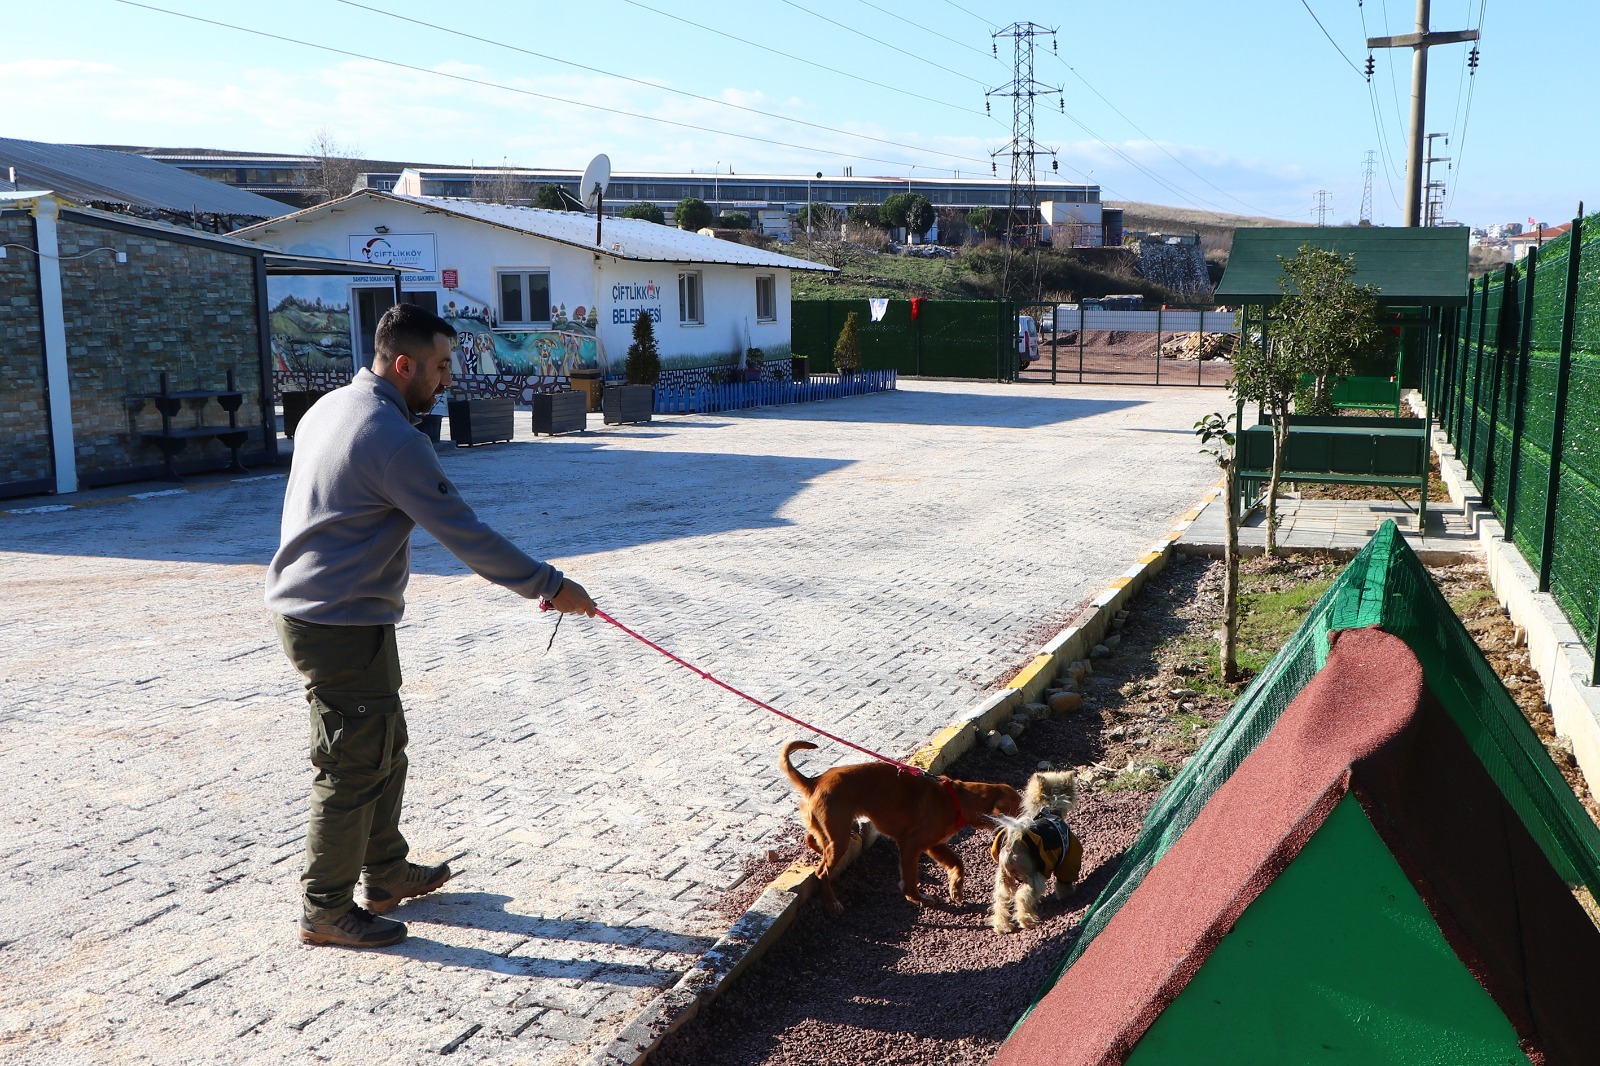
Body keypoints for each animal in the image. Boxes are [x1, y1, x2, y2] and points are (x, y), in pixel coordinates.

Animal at [777, 742, 1024, 909]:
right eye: (1020, 811)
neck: (958, 798)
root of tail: (814, 781)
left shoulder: (935, 845)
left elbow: (958, 863)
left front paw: (956, 889)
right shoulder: (911, 845)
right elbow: (911, 878)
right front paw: (918, 898)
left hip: (831, 828)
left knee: (812, 839)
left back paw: (820, 851)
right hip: (839, 835)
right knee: (821, 872)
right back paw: (831, 903)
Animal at [985, 765, 1088, 928]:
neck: (1050, 811)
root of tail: (1011, 848)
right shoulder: (1068, 857)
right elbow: (1064, 881)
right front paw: (1067, 894)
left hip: (1004, 880)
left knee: (1001, 900)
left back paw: (1003, 926)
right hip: (1032, 876)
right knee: (1022, 896)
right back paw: (1026, 920)